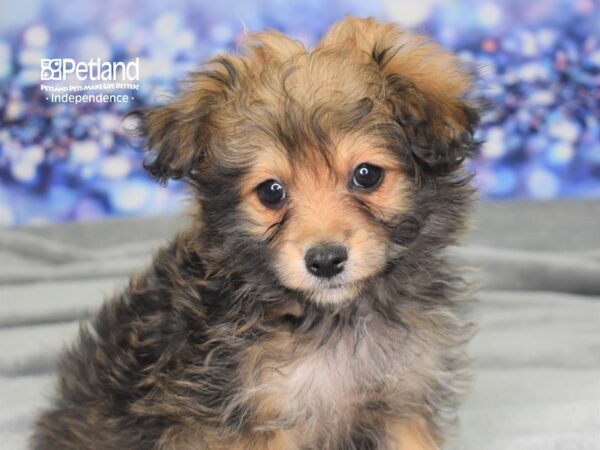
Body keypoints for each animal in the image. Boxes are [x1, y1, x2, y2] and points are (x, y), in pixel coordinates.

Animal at [32, 17, 482, 450]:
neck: (336, 320)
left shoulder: (403, 399)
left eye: (367, 175)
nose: (325, 261)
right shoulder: (251, 418)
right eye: (271, 191)